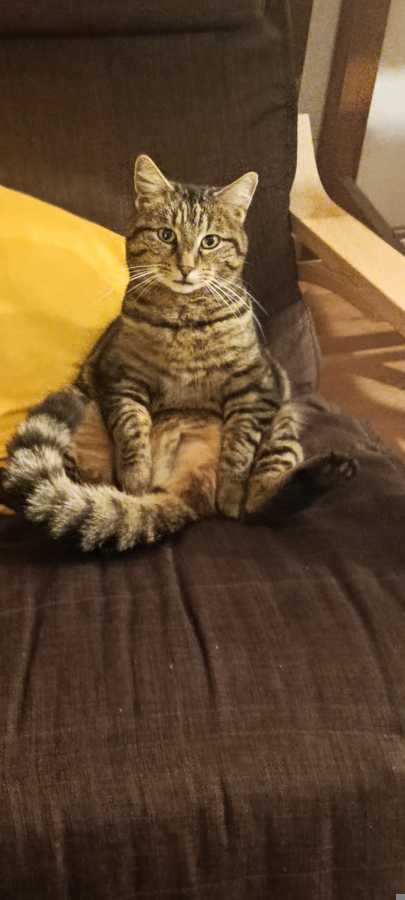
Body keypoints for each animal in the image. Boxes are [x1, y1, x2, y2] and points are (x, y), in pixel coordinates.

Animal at [3, 156, 357, 551]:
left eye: (210, 241)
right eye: (166, 235)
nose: (186, 267)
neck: (184, 320)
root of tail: (183, 492)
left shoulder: (256, 388)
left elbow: (238, 448)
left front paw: (230, 492)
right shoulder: (121, 380)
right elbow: (132, 431)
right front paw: (136, 479)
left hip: (283, 423)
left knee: (259, 502)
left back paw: (323, 473)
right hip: (84, 407)